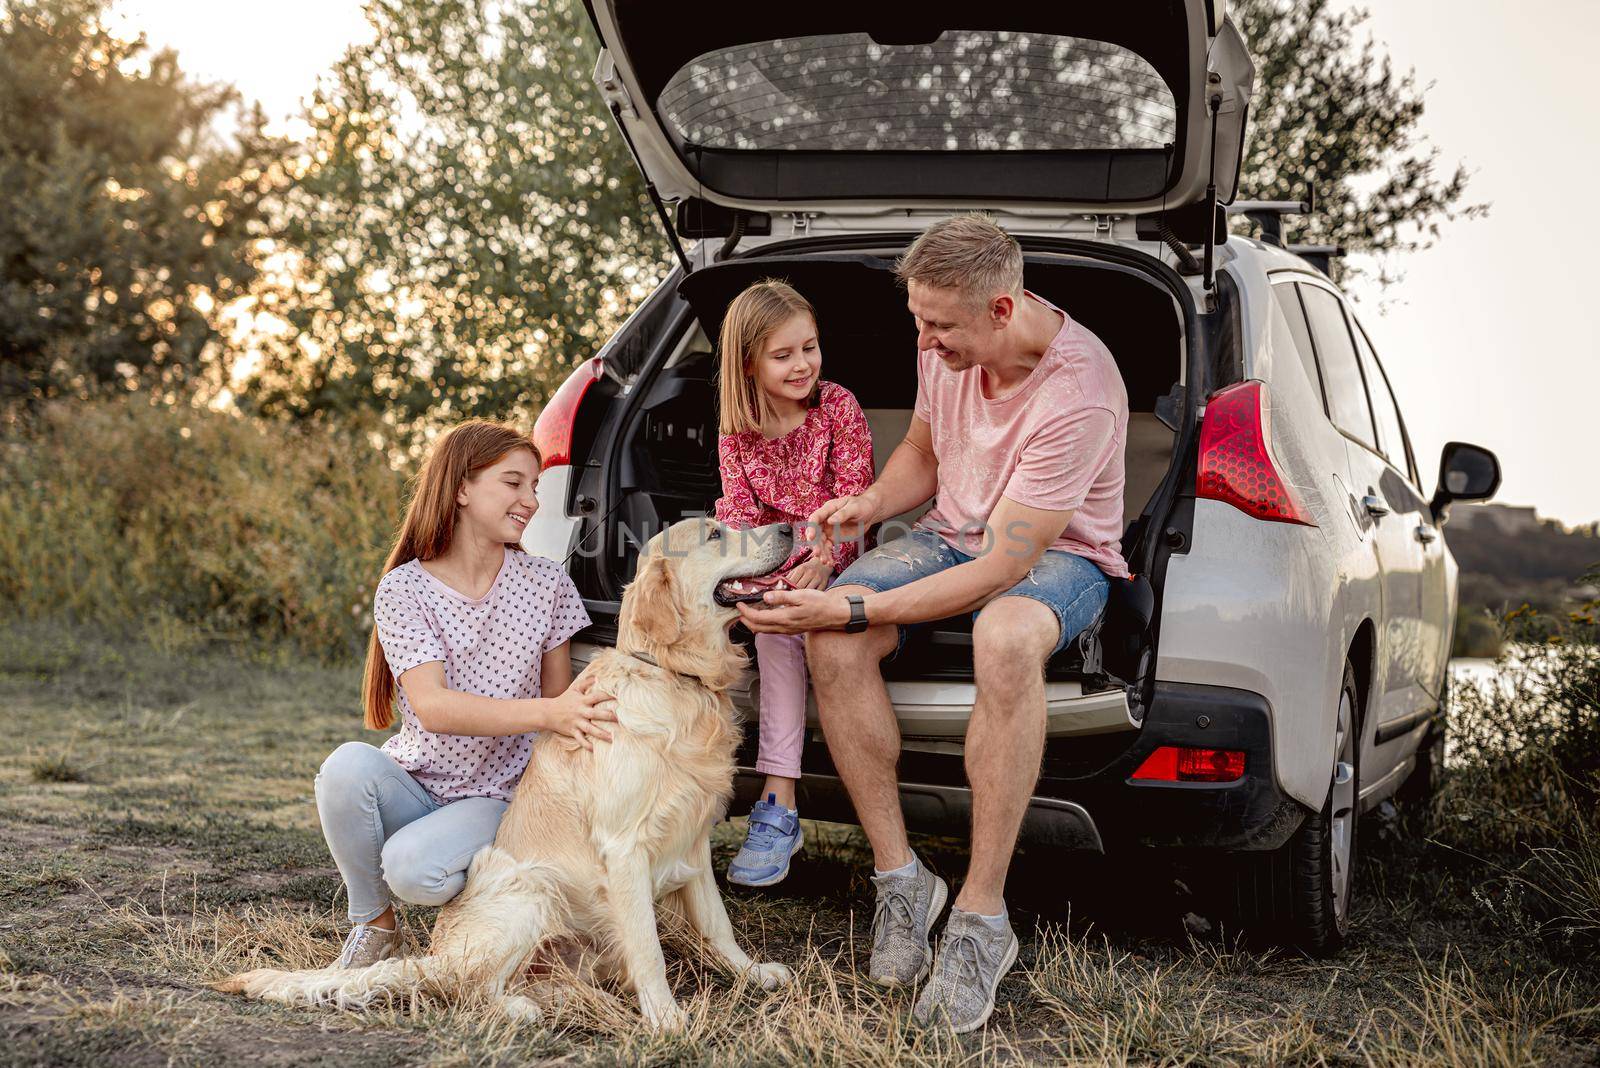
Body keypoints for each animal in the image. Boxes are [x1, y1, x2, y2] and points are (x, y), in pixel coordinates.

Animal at [216, 521, 800, 1029]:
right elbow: (648, 946)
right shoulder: (624, 848)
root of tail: (440, 953)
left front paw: (752, 973)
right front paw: (665, 1017)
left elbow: (719, 925)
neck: (673, 677)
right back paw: (518, 1008)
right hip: (533, 891)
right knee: (467, 988)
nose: (790, 527)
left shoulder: (692, 839)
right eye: (716, 533)